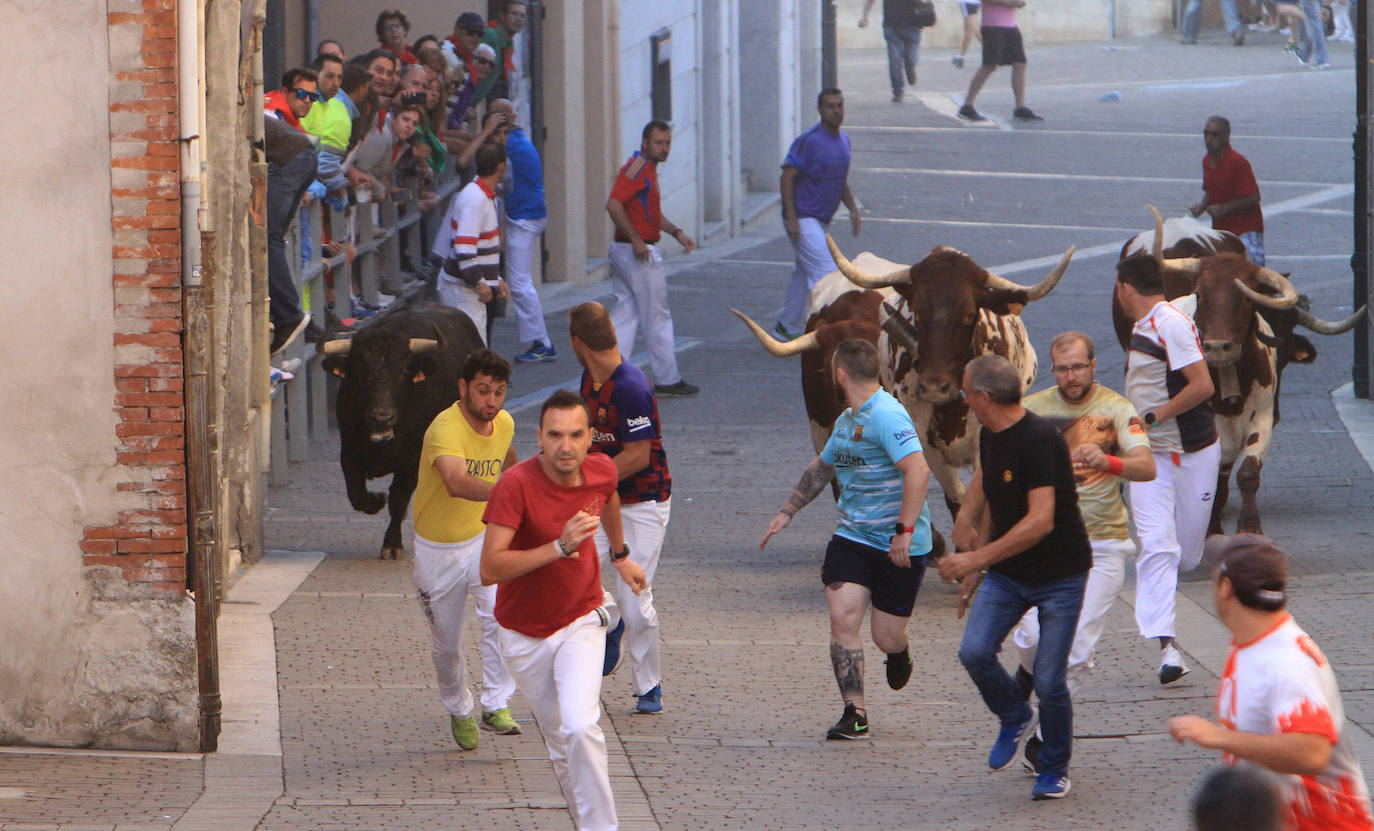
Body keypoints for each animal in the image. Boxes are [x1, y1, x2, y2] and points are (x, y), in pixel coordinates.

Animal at [317, 303, 483, 557]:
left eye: (403, 372)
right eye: (360, 373)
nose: (382, 417)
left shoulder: (413, 460)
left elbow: (398, 499)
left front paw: (392, 545)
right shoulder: (349, 453)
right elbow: (357, 495)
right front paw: (377, 499)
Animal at [818, 234, 1077, 519]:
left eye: (969, 314)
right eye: (918, 311)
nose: (934, 388)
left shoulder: (985, 439)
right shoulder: (922, 440)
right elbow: (958, 501)